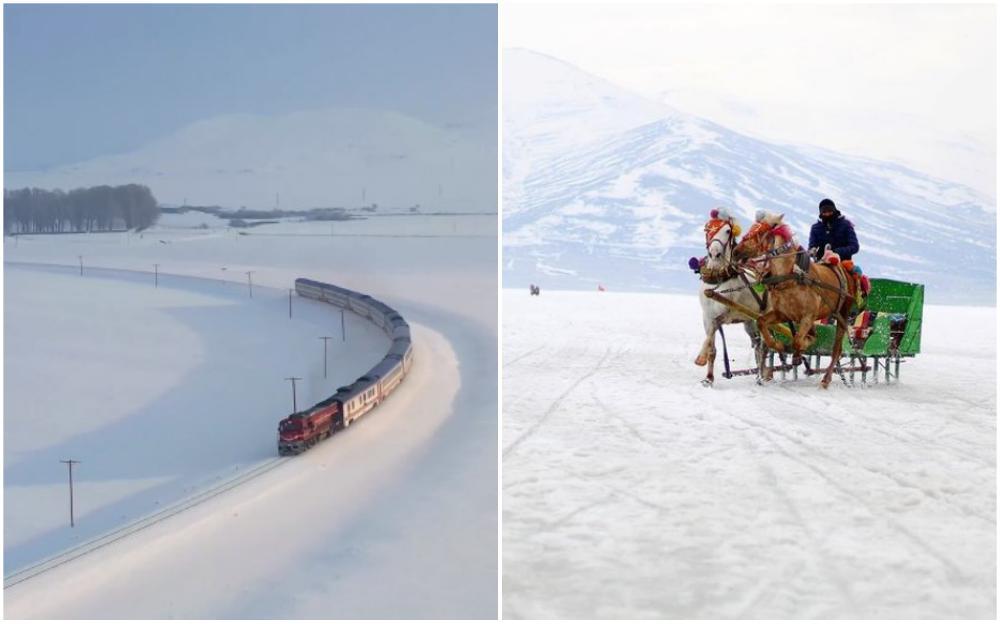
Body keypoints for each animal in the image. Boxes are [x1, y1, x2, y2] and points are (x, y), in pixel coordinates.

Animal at [696, 211, 764, 386]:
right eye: (707, 229)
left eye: (727, 230)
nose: (714, 253)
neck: (718, 279)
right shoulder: (706, 316)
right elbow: (712, 348)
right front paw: (708, 378)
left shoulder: (728, 314)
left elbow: (713, 330)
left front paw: (700, 358)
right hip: (750, 321)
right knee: (757, 343)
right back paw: (759, 374)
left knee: (765, 345)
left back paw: (763, 376)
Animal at [732, 214, 856, 390]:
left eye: (759, 232)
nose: (735, 252)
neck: (791, 278)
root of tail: (845, 270)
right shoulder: (782, 314)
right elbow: (762, 322)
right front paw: (779, 345)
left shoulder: (808, 317)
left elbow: (797, 340)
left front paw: (798, 354)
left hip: (841, 315)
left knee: (836, 350)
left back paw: (826, 380)